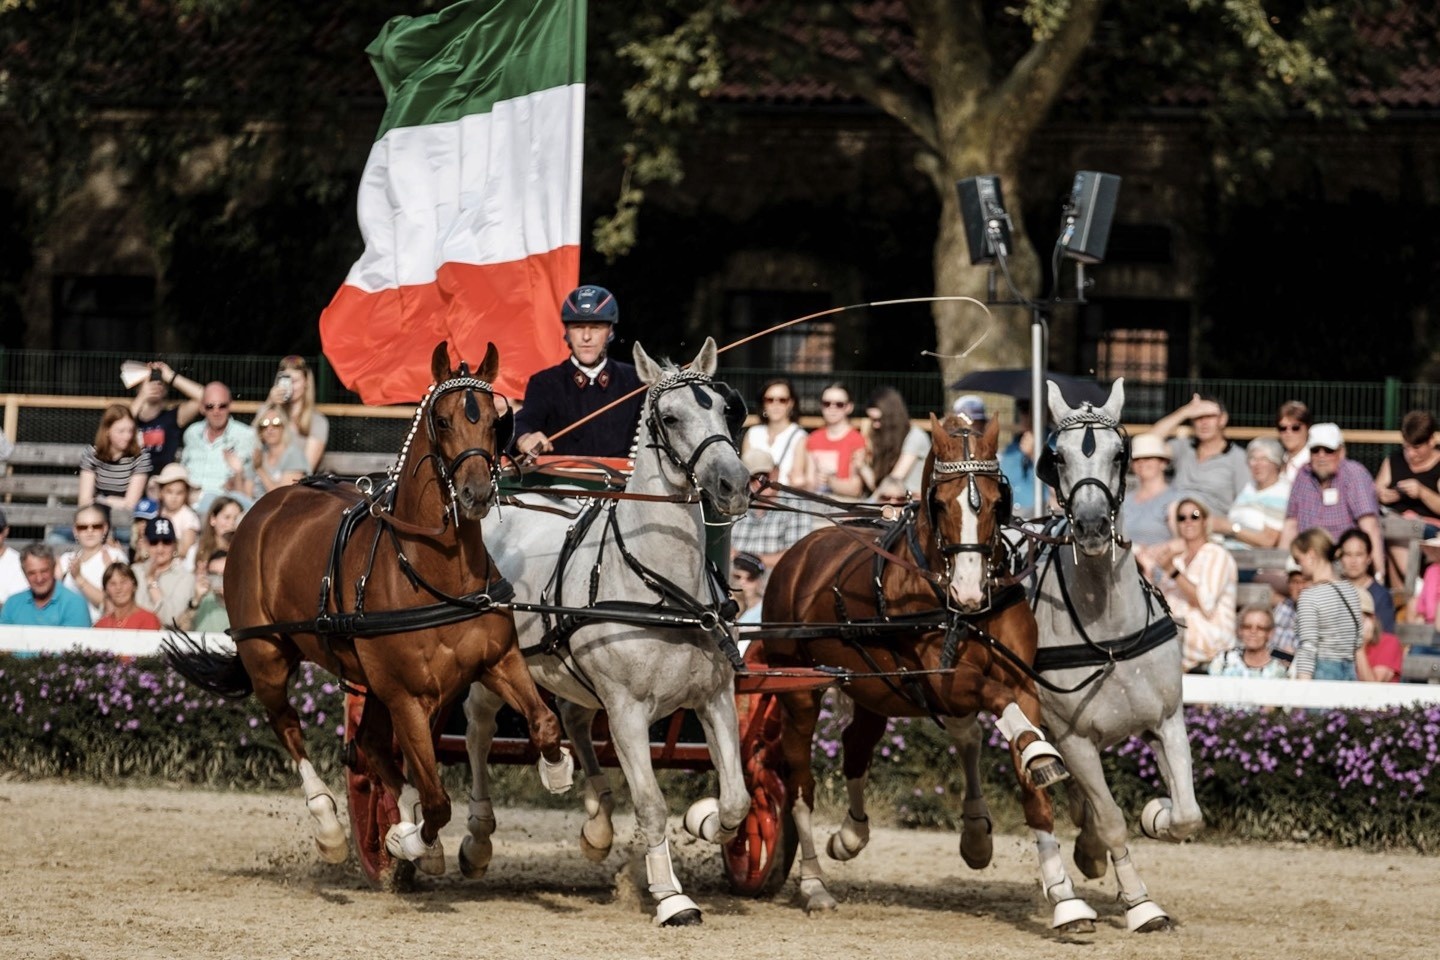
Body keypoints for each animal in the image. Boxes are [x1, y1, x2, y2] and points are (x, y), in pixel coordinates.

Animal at [460, 341, 754, 926]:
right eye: (670, 417)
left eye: (726, 410)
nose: (733, 486)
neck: (664, 592)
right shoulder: (627, 711)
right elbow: (652, 805)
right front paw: (672, 897)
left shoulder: (715, 698)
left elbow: (737, 798)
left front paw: (707, 820)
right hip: (492, 669)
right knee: (479, 728)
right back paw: (474, 839)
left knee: (571, 716)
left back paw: (596, 821)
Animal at [1019, 379, 1209, 932]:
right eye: (1057, 457)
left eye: (1119, 454)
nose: (1090, 526)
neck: (1107, 628)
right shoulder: (1073, 738)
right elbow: (1110, 820)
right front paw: (1141, 904)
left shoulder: (1167, 720)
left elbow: (1187, 814)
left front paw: (1157, 813)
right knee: (1035, 793)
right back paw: (1063, 892)